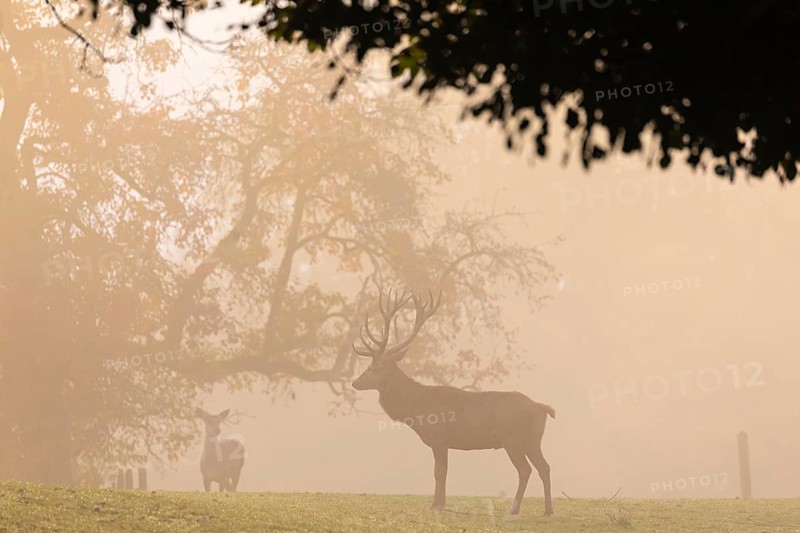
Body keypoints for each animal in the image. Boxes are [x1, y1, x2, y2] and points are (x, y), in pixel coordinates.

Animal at [352, 289, 555, 516]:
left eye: (372, 368)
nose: (355, 382)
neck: (417, 409)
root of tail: (541, 407)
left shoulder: (439, 438)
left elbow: (439, 471)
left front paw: (436, 505)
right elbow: (443, 471)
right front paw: (439, 503)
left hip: (513, 439)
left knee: (525, 469)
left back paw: (514, 509)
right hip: (533, 440)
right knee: (544, 467)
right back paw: (547, 510)